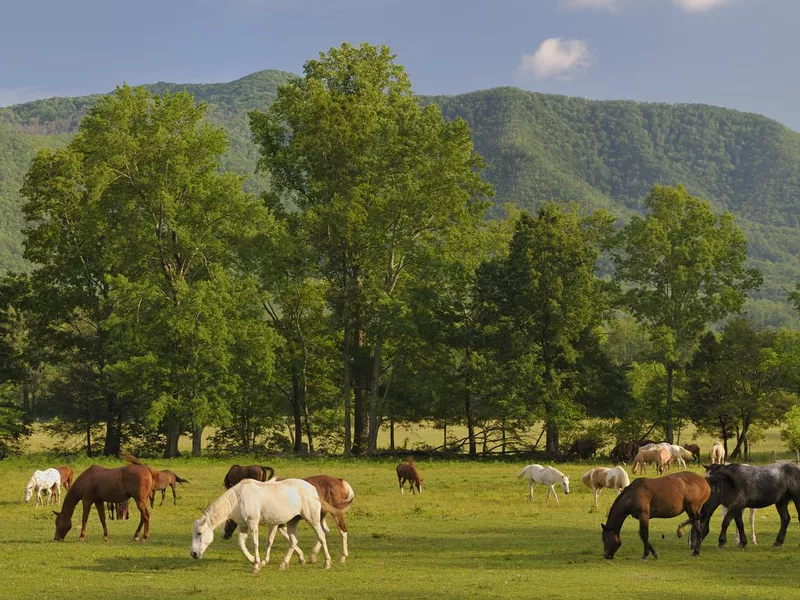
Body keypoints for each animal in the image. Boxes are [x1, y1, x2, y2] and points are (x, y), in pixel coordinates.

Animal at [194, 478, 344, 572]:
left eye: (199, 533)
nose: (193, 554)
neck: (238, 498)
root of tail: (313, 489)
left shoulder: (253, 523)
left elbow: (256, 543)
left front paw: (256, 566)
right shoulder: (244, 526)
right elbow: (241, 544)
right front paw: (254, 560)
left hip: (312, 520)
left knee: (322, 536)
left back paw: (327, 563)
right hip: (292, 522)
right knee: (293, 541)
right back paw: (283, 564)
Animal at [220, 474, 354, 564]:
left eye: (228, 519)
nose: (223, 535)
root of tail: (339, 480)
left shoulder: (275, 524)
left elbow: (270, 540)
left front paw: (264, 560)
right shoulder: (282, 524)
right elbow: (291, 539)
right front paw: (301, 558)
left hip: (335, 513)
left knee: (343, 530)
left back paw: (342, 556)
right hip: (320, 516)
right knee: (325, 531)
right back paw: (313, 556)